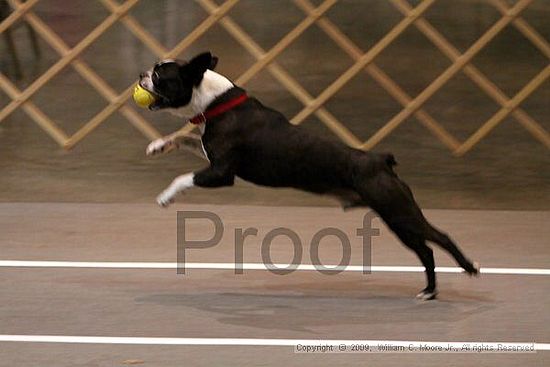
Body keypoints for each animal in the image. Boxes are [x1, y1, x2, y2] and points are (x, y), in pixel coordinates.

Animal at [138, 52, 478, 300]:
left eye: (159, 76)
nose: (141, 74)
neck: (216, 102)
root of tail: (380, 160)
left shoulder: (221, 172)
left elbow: (183, 177)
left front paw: (167, 196)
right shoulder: (207, 152)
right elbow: (184, 136)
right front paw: (158, 144)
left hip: (398, 211)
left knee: (440, 238)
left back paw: (466, 269)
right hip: (396, 218)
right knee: (425, 249)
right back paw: (430, 290)